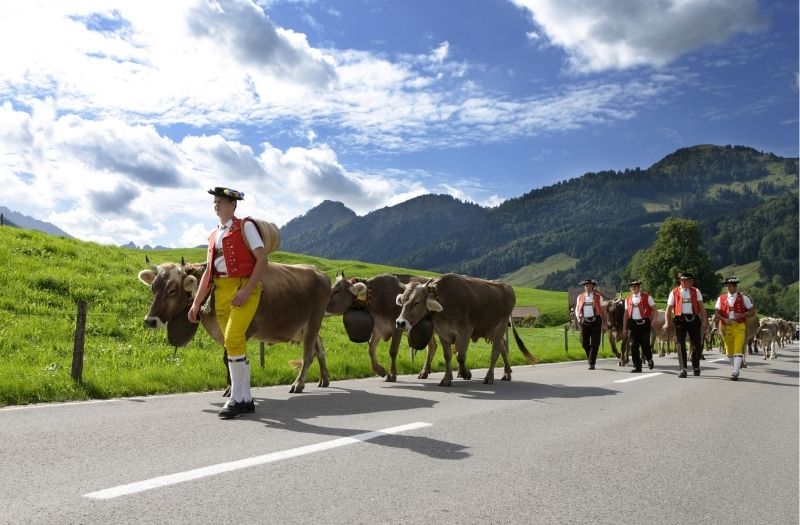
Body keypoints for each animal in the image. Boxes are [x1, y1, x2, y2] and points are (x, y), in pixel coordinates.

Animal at [139, 258, 330, 392]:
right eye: (153, 288)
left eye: (172, 291)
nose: (150, 320)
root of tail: (318, 272)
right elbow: (226, 360)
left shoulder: (240, 330)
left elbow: (229, 358)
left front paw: (231, 388)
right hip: (303, 326)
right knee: (319, 346)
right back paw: (324, 379)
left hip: (314, 319)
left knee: (308, 353)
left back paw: (298, 384)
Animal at [396, 274, 536, 384]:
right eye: (402, 301)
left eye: (417, 302)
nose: (400, 322)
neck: (445, 300)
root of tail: (506, 285)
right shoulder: (443, 332)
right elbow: (448, 356)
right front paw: (447, 379)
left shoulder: (465, 332)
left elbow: (461, 356)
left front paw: (465, 373)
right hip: (490, 330)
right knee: (503, 348)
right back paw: (507, 373)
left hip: (500, 326)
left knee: (495, 352)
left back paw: (489, 377)